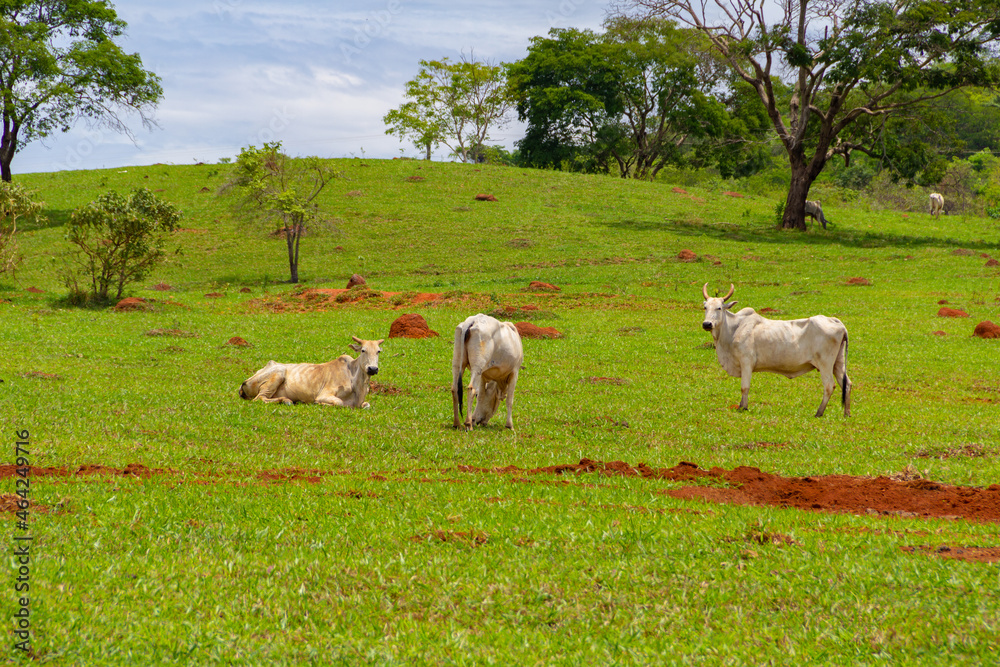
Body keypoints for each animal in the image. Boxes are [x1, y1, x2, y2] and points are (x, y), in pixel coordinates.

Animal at [239, 336, 384, 408]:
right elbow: (339, 403)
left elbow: (367, 405)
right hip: (278, 373)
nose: (372, 369)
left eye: (378, 351)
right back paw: (286, 401)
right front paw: (318, 403)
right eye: (363, 350)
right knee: (260, 398)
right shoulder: (325, 394)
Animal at [701, 284, 852, 417]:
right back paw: (847, 413)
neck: (734, 328)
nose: (707, 324)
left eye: (719, 308)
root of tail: (836, 321)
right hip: (838, 363)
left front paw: (742, 407)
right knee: (847, 384)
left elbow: (745, 387)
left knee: (829, 386)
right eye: (705, 307)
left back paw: (818, 413)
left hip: (825, 364)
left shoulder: (746, 362)